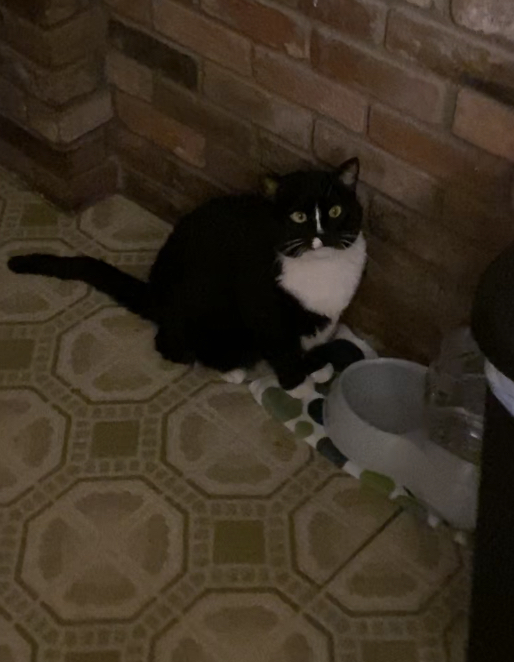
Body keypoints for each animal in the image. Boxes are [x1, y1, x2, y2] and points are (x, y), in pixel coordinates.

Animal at [8, 158, 366, 396]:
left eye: (335, 211)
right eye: (299, 216)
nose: (320, 236)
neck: (321, 270)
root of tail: (155, 292)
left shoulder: (323, 316)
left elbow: (312, 338)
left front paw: (316, 365)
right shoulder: (263, 307)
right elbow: (282, 348)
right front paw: (298, 384)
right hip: (205, 312)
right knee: (169, 344)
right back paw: (229, 368)